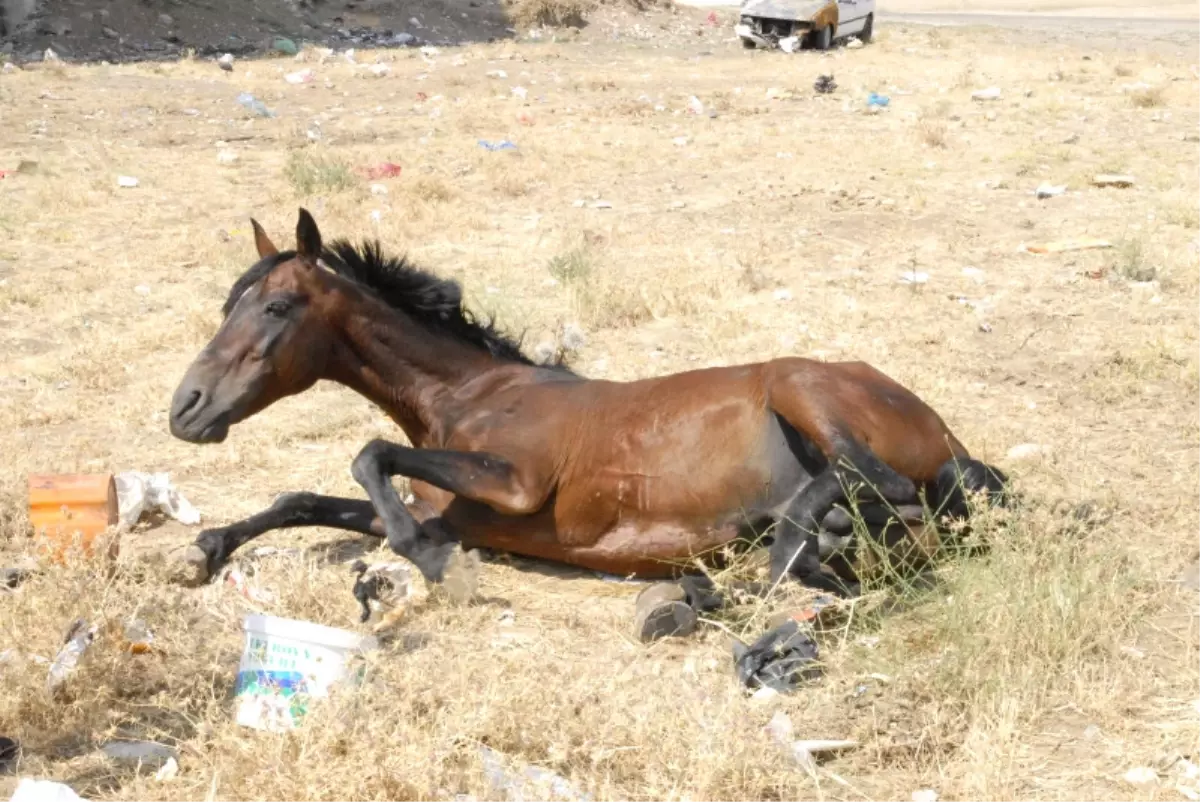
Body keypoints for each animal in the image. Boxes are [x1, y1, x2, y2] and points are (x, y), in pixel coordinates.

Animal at [169, 210, 1008, 597]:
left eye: (276, 308)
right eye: (228, 304)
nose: (186, 407)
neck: (470, 392)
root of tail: (947, 434)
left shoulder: (515, 484)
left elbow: (369, 455)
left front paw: (433, 563)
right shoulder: (442, 504)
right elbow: (304, 498)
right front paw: (205, 548)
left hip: (802, 384)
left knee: (882, 482)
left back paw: (794, 538)